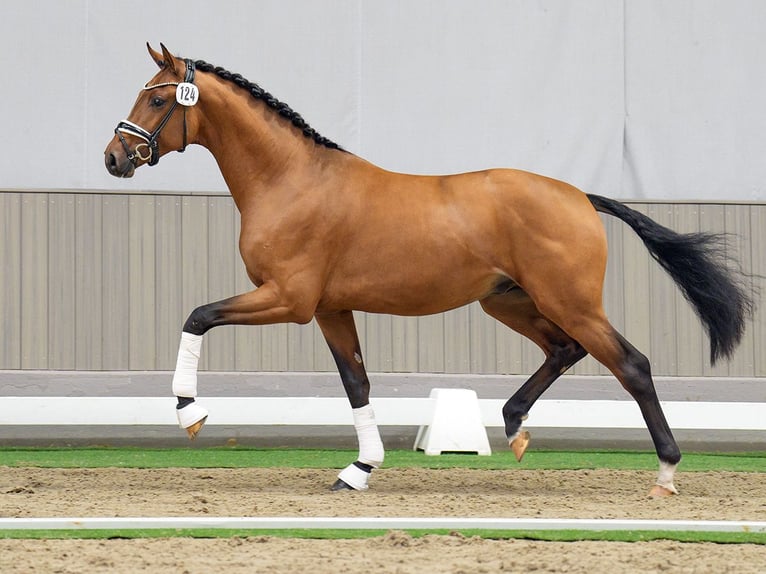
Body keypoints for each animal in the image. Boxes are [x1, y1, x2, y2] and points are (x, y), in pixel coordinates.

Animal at [105, 44, 752, 496]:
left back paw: (665, 473)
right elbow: (357, 384)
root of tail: (580, 196)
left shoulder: (288, 299)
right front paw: (359, 469)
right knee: (565, 350)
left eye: (158, 100)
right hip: (509, 300)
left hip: (568, 301)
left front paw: (191, 413)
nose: (114, 157)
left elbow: (198, 316)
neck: (291, 179)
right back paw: (515, 428)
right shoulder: (329, 308)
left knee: (631, 365)